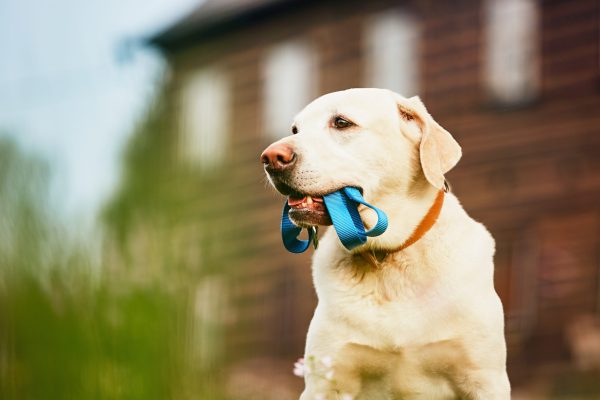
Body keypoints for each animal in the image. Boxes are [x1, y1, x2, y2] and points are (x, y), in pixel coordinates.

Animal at [260, 89, 508, 398]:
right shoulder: (325, 382)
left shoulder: (484, 379)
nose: (270, 157)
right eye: (295, 130)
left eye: (341, 122)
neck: (387, 257)